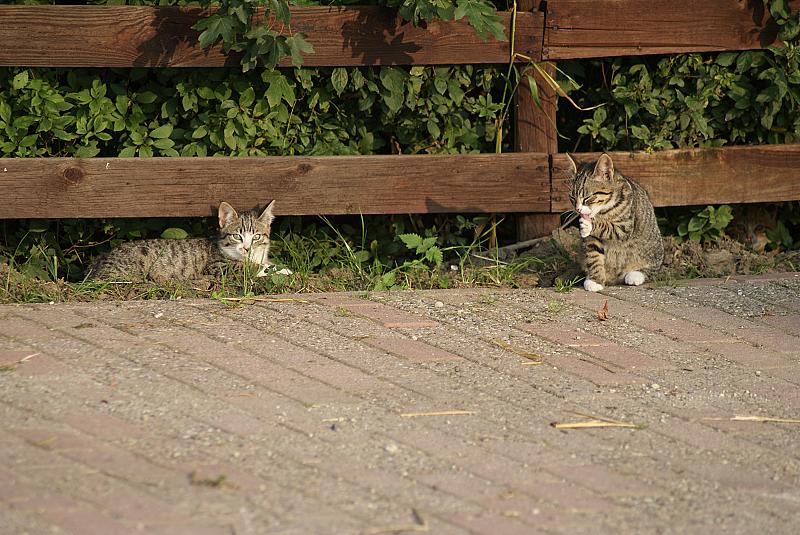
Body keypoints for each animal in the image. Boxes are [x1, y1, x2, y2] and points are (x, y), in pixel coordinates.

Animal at [88, 201, 279, 282]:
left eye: (256, 237)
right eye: (237, 236)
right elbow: (249, 268)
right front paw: (277, 270)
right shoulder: (217, 266)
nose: (247, 248)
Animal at [567, 153, 664, 292]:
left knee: (654, 270)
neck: (603, 211)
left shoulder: (626, 226)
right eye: (572, 197)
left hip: (654, 251)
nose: (578, 209)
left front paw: (590, 224)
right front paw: (595, 280)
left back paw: (635, 274)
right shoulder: (591, 240)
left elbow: (610, 228)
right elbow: (593, 256)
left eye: (588, 197)